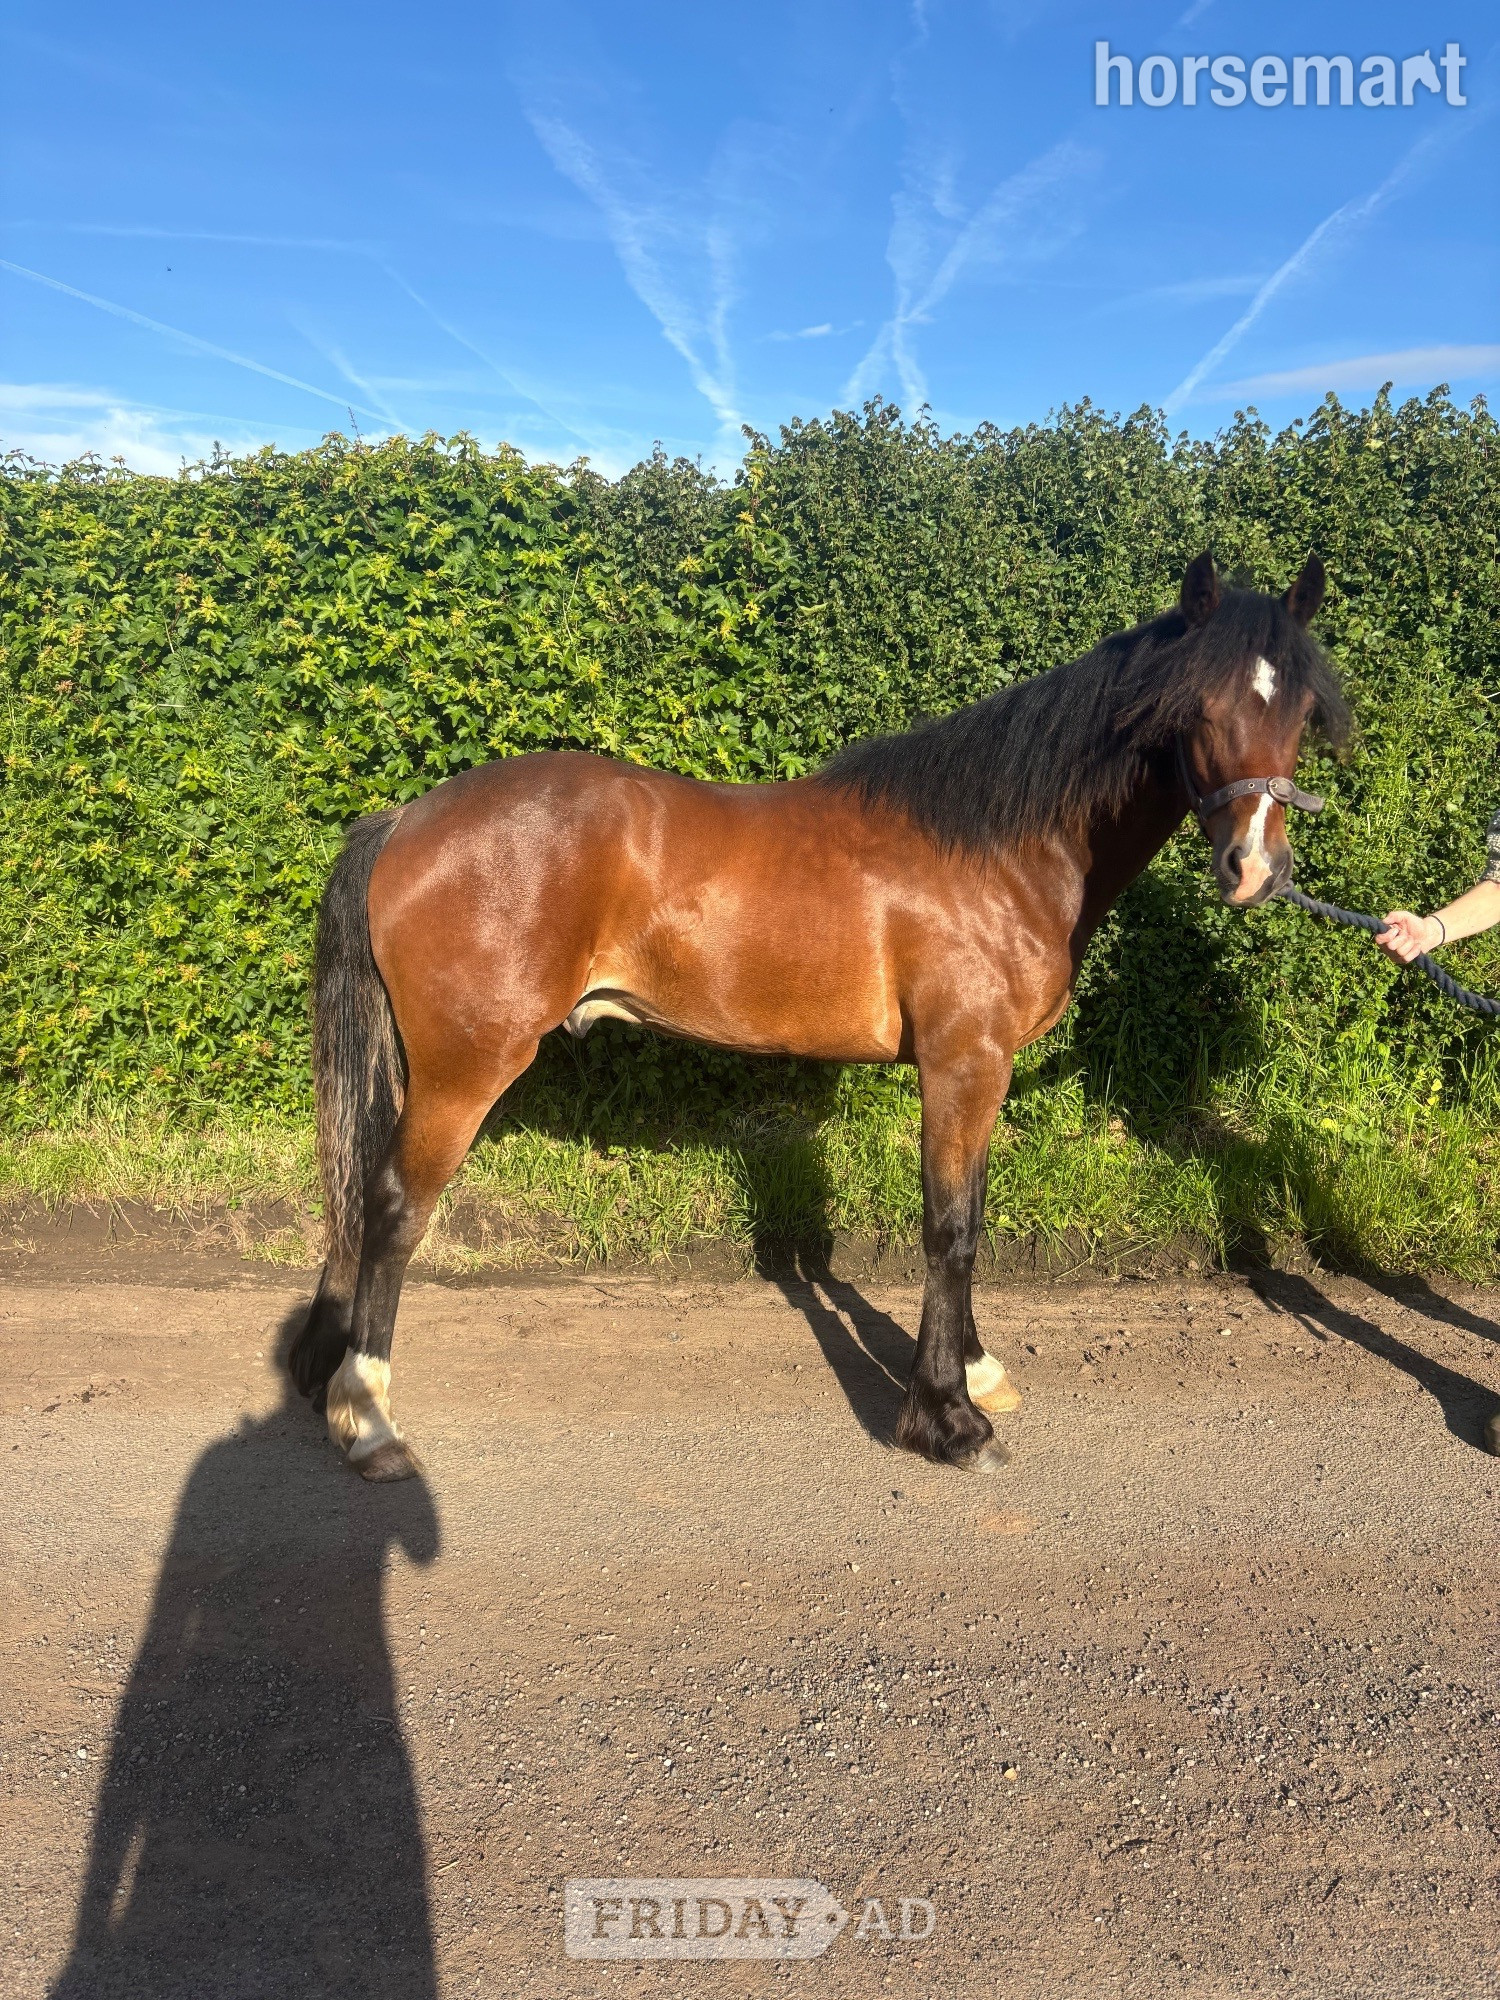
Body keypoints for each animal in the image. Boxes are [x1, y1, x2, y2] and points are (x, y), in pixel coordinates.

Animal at [288, 552, 1349, 1481]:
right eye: (1199, 708)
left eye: (1298, 710)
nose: (1256, 870)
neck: (998, 846)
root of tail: (405, 820)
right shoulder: (964, 1062)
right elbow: (949, 1227)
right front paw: (946, 1420)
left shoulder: (984, 1070)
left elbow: (970, 1213)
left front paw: (977, 1374)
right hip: (467, 1067)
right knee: (393, 1206)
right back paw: (369, 1423)